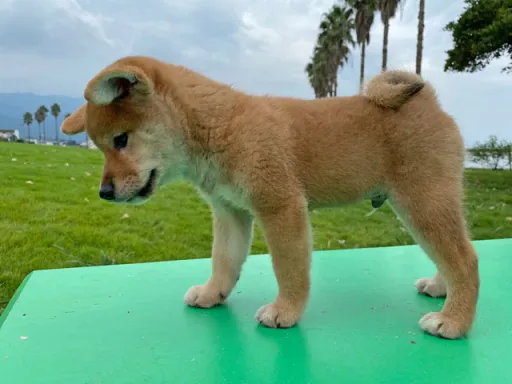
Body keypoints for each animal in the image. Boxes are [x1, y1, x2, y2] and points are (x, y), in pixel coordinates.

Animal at [61, 54, 480, 340]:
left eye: (121, 140)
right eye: (101, 146)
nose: (104, 192)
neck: (218, 126)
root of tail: (429, 101)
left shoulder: (281, 208)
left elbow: (289, 269)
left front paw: (285, 311)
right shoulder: (230, 213)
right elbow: (224, 261)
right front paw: (213, 294)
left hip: (422, 202)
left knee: (465, 259)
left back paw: (454, 320)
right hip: (422, 206)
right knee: (451, 253)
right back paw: (441, 288)